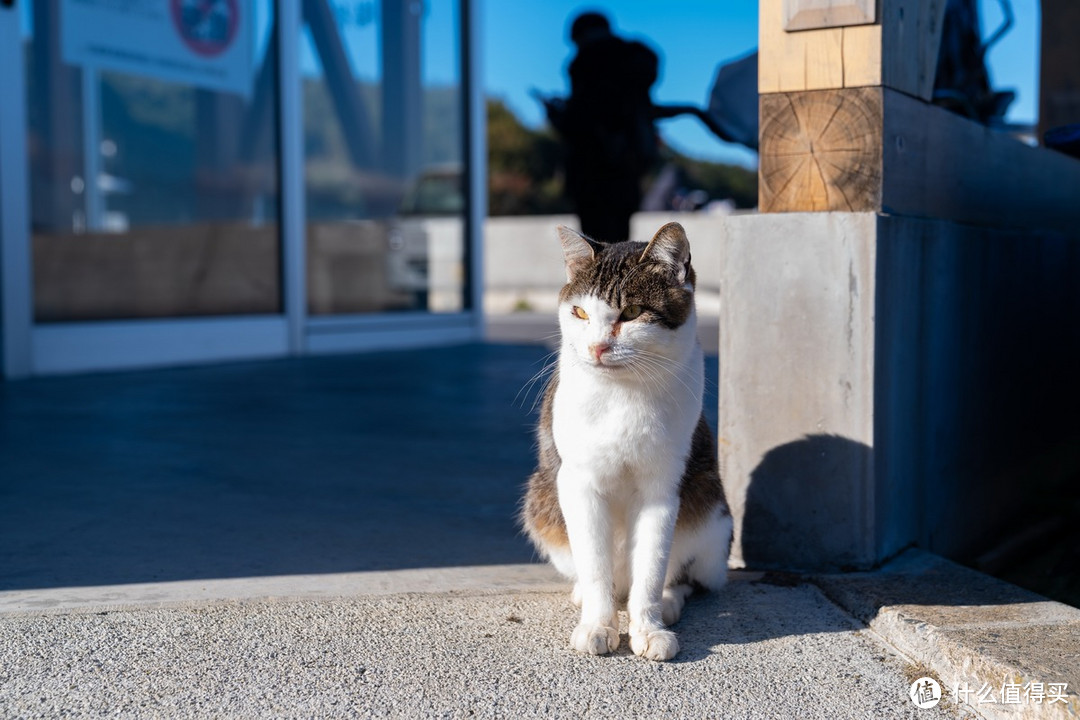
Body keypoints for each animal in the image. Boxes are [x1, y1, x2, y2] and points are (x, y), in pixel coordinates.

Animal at [518, 222, 730, 660]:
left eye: (631, 313)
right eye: (580, 312)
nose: (597, 346)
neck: (623, 391)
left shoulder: (662, 488)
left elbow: (651, 564)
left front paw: (647, 627)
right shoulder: (578, 483)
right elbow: (594, 564)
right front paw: (598, 624)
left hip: (711, 511)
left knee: (682, 572)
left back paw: (667, 601)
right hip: (541, 500)